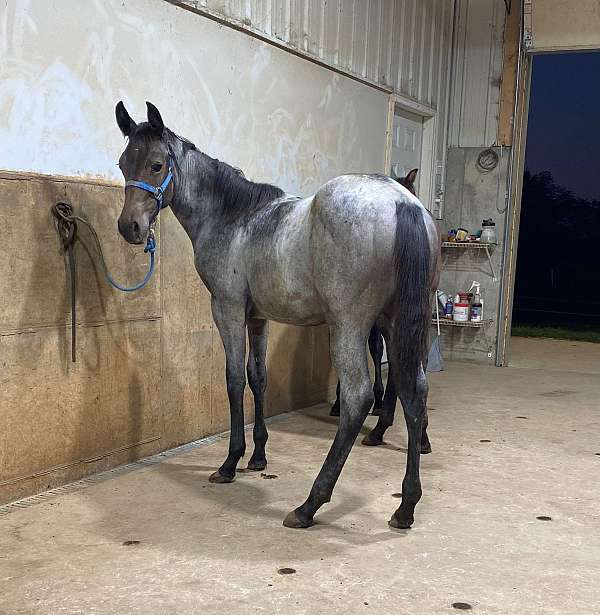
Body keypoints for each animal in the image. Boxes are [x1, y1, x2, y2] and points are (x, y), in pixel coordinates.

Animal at [115, 103, 438, 532]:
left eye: (155, 164)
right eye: (122, 164)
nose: (129, 228)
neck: (233, 217)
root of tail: (405, 204)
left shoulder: (228, 310)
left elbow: (234, 380)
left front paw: (231, 462)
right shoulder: (258, 318)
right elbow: (258, 377)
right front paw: (258, 456)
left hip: (349, 327)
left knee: (358, 398)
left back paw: (309, 505)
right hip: (399, 326)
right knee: (414, 392)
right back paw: (406, 507)